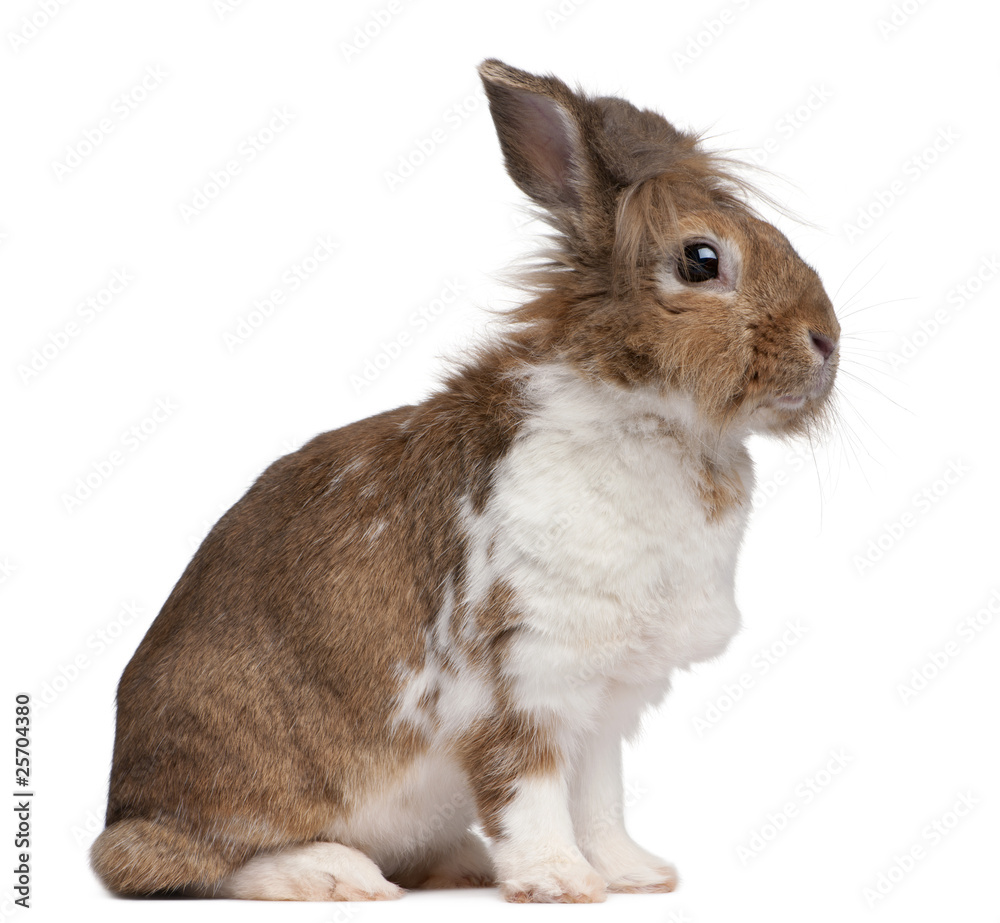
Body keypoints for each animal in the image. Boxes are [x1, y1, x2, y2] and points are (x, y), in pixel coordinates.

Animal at [90, 58, 840, 904]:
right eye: (701, 261)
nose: (827, 339)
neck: (655, 416)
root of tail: (124, 799)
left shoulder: (604, 707)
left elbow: (600, 799)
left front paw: (635, 874)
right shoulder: (524, 678)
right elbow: (530, 791)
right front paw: (560, 882)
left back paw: (455, 860)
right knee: (181, 862)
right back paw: (337, 874)